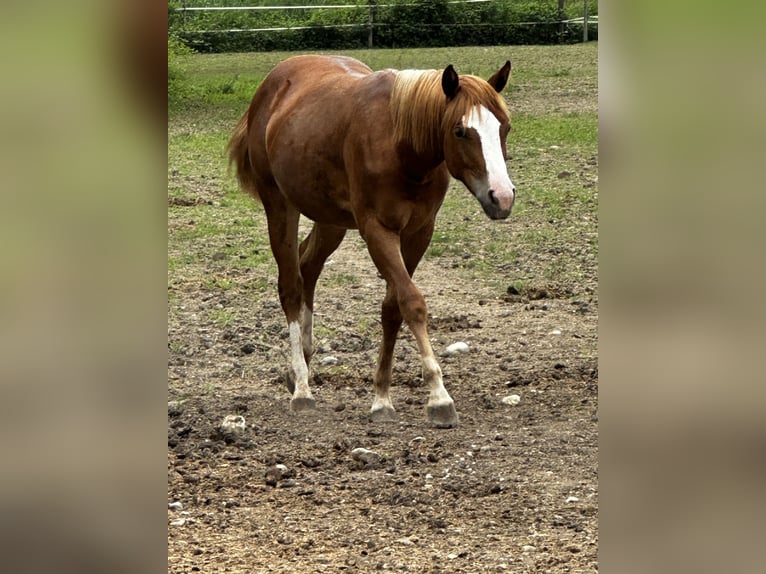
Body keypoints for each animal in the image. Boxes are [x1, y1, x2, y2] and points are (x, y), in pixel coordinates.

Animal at [228, 56, 516, 430]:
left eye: (505, 128)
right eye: (460, 131)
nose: (502, 197)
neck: (401, 145)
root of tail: (271, 84)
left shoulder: (419, 233)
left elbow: (393, 308)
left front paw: (381, 395)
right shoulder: (377, 230)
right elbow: (412, 302)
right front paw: (439, 397)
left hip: (330, 219)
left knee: (309, 268)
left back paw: (301, 364)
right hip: (280, 206)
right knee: (291, 285)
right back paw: (302, 388)